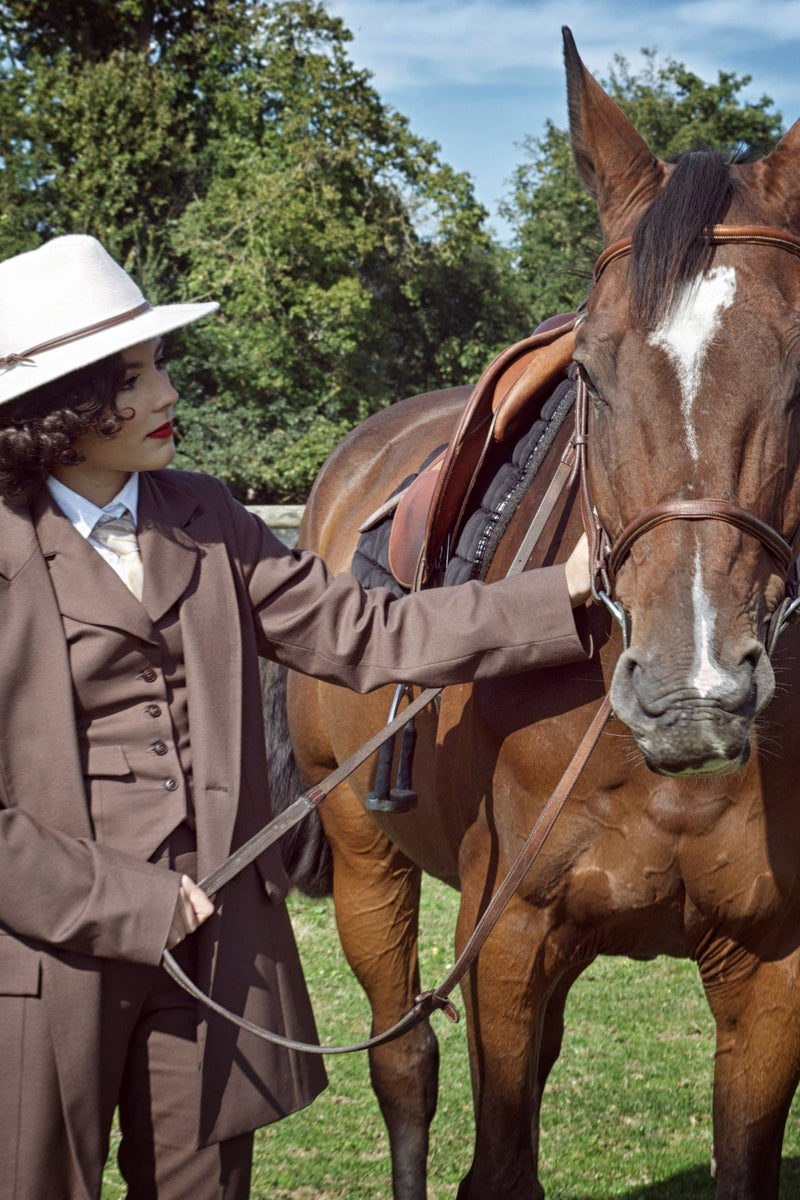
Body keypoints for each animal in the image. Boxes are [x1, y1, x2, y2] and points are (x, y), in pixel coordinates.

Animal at [271, 28, 800, 1200]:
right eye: (592, 375)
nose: (692, 693)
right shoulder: (505, 943)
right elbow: (495, 1162)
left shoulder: (772, 964)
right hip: (369, 867)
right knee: (405, 1066)